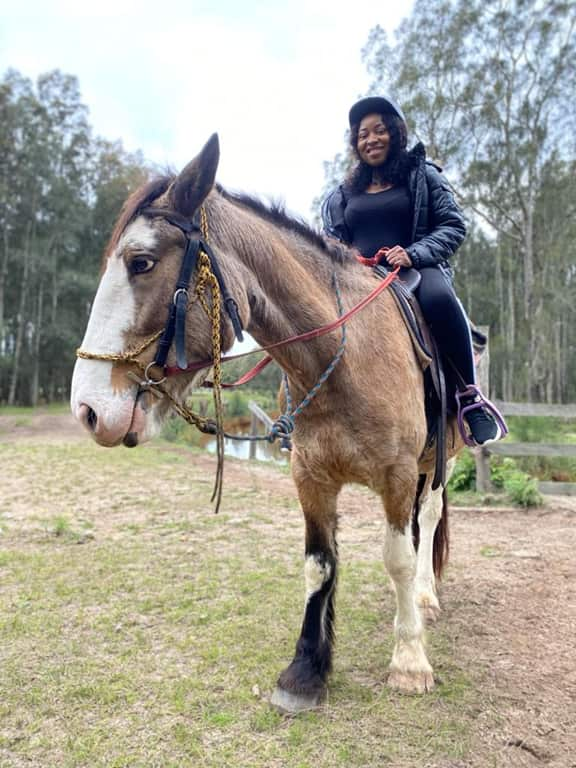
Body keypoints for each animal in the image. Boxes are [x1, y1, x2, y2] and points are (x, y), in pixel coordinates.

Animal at [71, 132, 460, 712]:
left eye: (141, 262)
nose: (88, 410)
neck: (344, 358)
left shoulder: (395, 474)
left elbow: (397, 559)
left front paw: (410, 661)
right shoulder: (310, 477)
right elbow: (319, 564)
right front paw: (306, 671)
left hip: (440, 461)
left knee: (428, 520)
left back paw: (425, 599)